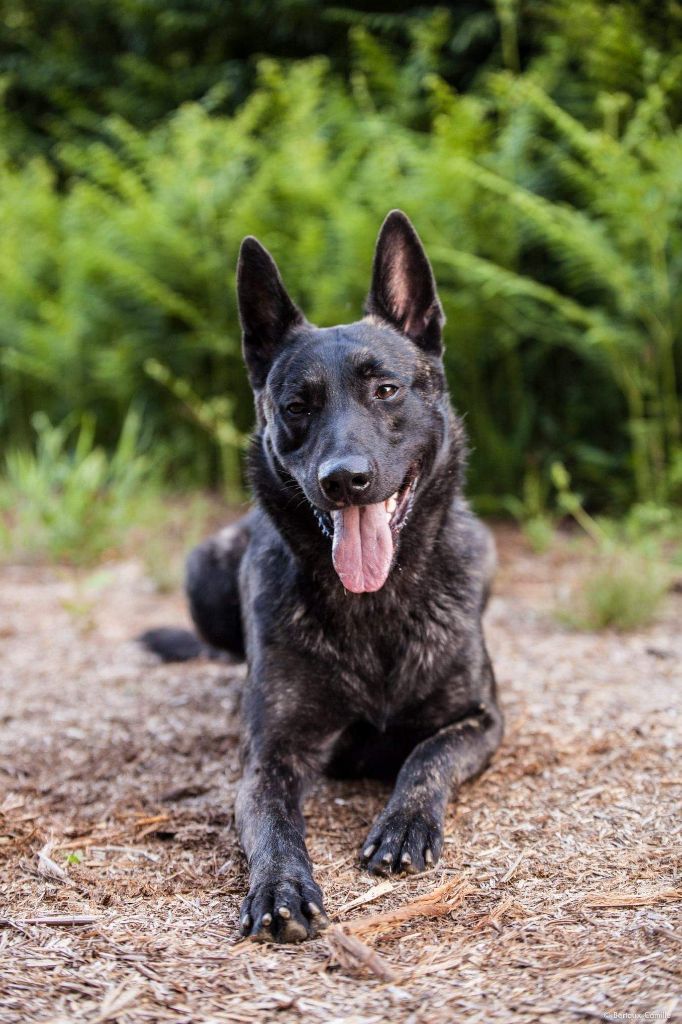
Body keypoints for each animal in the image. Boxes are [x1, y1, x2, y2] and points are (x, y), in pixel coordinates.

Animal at [140, 209, 501, 942]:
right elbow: (275, 821)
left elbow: (426, 759)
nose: (345, 479)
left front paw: (404, 821)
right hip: (202, 569)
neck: (377, 608)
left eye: (385, 389)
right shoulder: (271, 757)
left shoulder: (482, 721)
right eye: (297, 406)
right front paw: (281, 884)